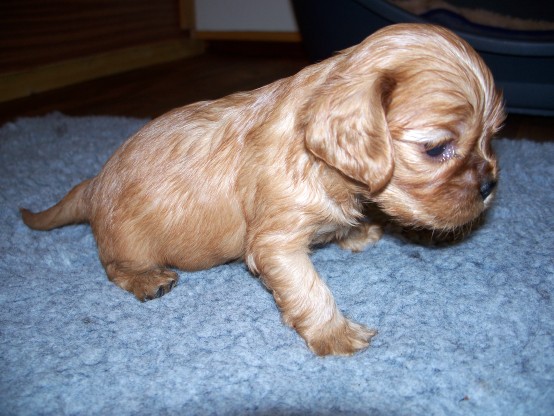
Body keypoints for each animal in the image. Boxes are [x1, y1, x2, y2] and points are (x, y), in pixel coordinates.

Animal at [21, 24, 504, 356]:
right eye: (436, 148)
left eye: (491, 136)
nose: (489, 185)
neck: (315, 158)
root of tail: (93, 185)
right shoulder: (275, 244)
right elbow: (310, 290)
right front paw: (337, 335)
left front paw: (356, 231)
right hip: (128, 244)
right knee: (113, 268)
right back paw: (146, 280)